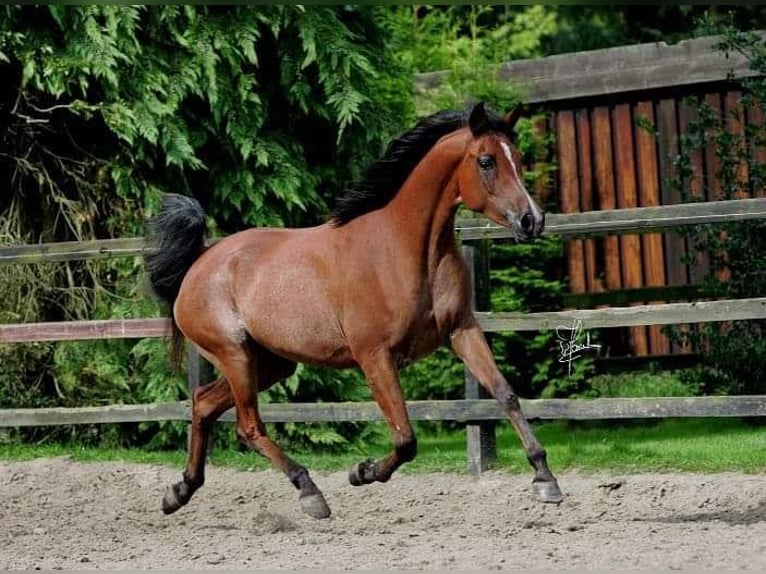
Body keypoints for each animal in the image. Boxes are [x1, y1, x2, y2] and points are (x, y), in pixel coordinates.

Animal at [144, 102, 563, 520]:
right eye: (486, 161)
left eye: (518, 158)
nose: (532, 220)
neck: (406, 250)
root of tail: (200, 261)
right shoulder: (374, 355)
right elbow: (406, 437)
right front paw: (362, 472)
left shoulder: (463, 330)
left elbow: (505, 394)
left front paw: (545, 478)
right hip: (234, 356)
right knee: (248, 426)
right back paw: (309, 491)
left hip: (270, 363)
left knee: (203, 403)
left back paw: (179, 491)